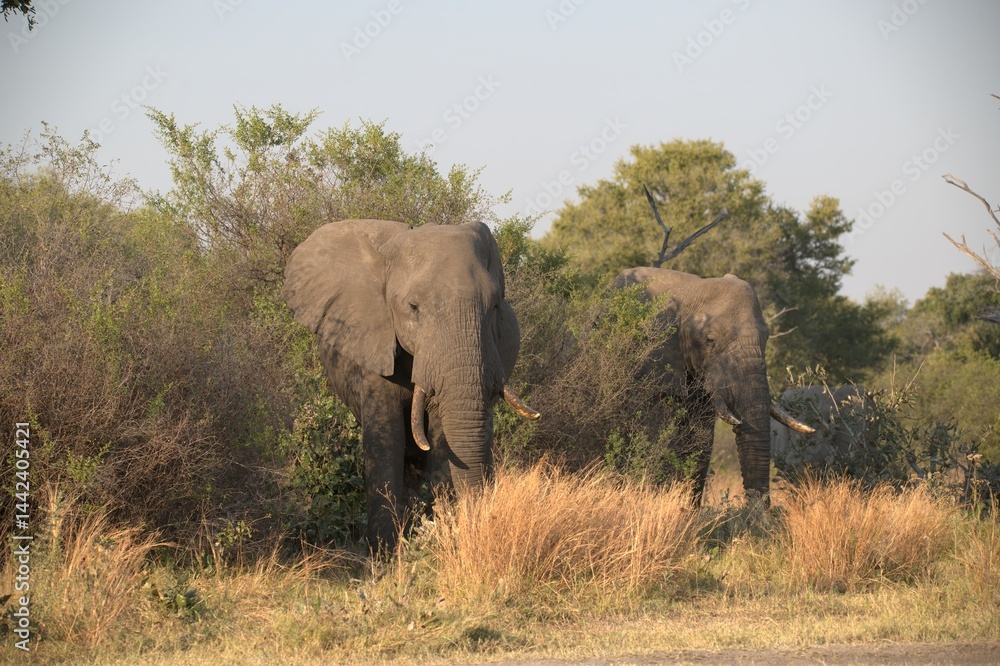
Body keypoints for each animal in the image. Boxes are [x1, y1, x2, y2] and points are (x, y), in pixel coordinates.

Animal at [281, 219, 538, 551]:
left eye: (495, 306)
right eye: (413, 307)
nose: (481, 523)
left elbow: (443, 439)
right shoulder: (373, 341)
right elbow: (385, 436)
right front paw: (385, 551)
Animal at [613, 267, 813, 502]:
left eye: (766, 338)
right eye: (710, 341)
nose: (756, 509)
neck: (691, 292)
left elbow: (702, 441)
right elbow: (657, 434)